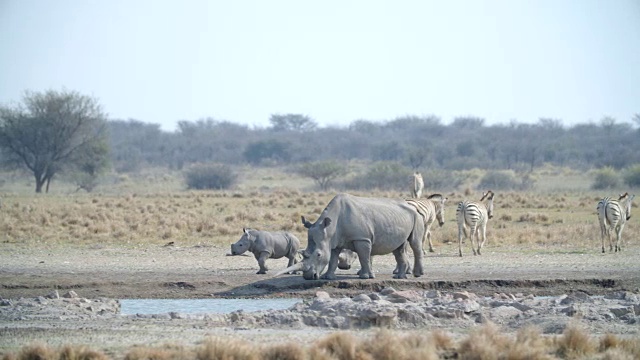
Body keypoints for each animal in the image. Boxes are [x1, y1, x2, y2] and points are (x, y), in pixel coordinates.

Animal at [276, 194, 424, 282]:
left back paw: (417, 274)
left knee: (415, 244)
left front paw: (365, 277)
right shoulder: (333, 241)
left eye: (318, 255)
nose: (308, 277)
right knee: (399, 248)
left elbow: (364, 257)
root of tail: (411, 205)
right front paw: (327, 277)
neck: (329, 228)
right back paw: (399, 277)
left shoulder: (362, 238)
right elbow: (333, 259)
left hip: (417, 216)